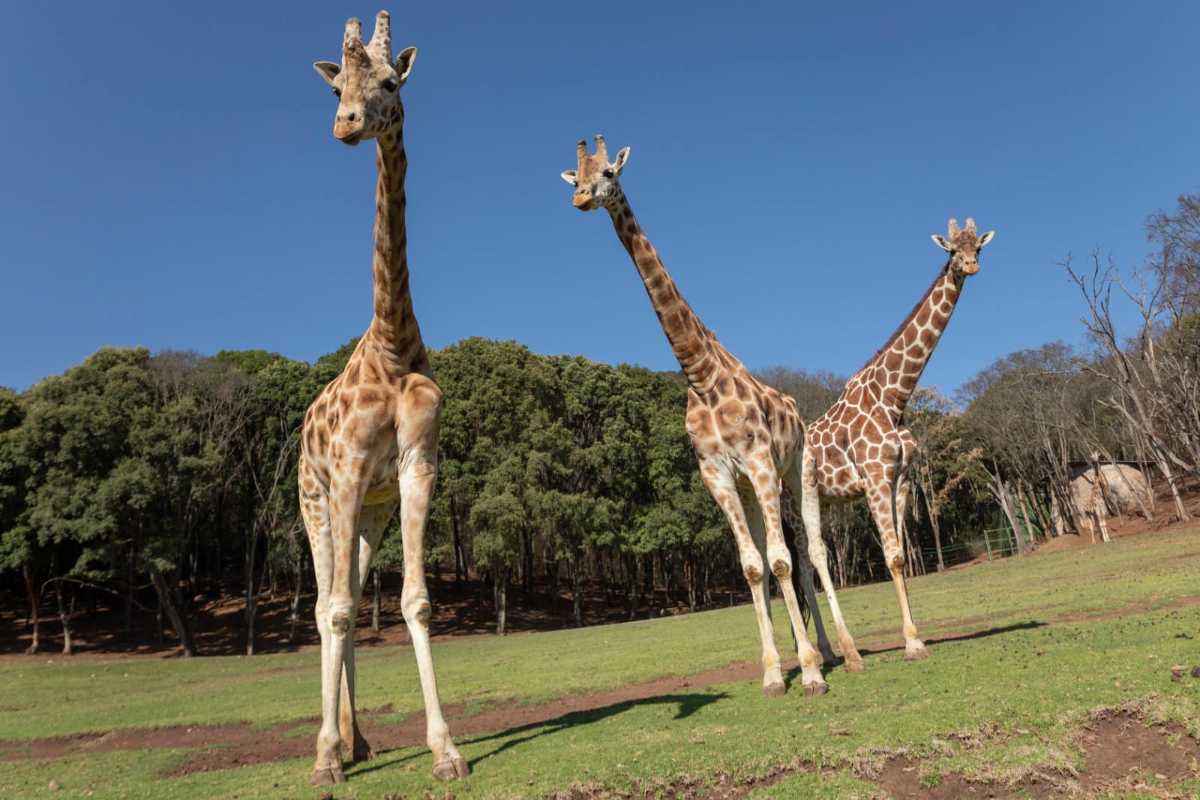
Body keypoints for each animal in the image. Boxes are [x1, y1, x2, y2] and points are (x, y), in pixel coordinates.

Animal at [562, 136, 849, 696]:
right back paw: (818, 651)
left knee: (810, 552)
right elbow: (754, 567)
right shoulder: (717, 475)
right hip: (754, 490)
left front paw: (809, 673)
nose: (581, 198)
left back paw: (841, 651)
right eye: (574, 175)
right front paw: (773, 674)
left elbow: (782, 560)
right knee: (781, 555)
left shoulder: (760, 461)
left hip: (795, 469)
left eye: (608, 172)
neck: (701, 375)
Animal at [802, 217, 995, 664]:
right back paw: (838, 650)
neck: (893, 397)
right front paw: (911, 642)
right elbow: (890, 556)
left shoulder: (902, 479)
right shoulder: (874, 479)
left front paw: (915, 636)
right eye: (950, 250)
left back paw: (825, 651)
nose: (970, 266)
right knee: (806, 558)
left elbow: (903, 556)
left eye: (978, 246)